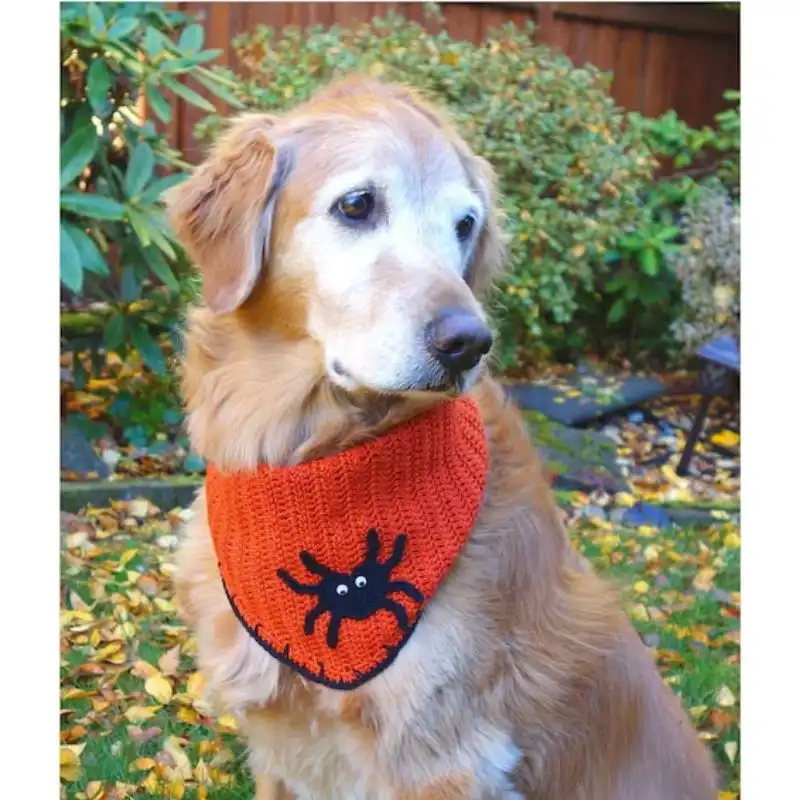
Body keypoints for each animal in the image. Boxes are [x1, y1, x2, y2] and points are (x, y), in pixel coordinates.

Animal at [166, 76, 716, 800]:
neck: (307, 456)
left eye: (465, 226)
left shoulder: (439, 758)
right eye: (358, 205)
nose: (468, 342)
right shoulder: (282, 753)